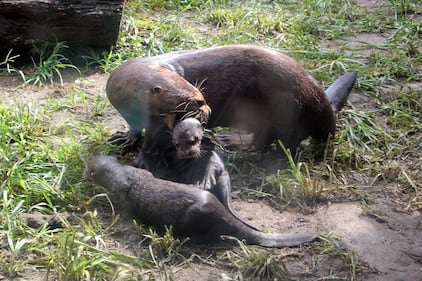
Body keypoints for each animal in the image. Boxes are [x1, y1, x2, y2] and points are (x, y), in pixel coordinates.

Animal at [85, 155, 316, 247]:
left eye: (88, 171)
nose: (83, 173)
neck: (123, 175)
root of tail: (220, 211)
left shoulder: (124, 199)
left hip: (193, 217)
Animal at [104, 44, 356, 152]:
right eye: (194, 99)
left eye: (200, 94)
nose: (206, 106)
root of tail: (323, 107)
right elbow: (134, 128)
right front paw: (125, 138)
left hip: (286, 107)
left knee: (265, 141)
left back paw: (233, 143)